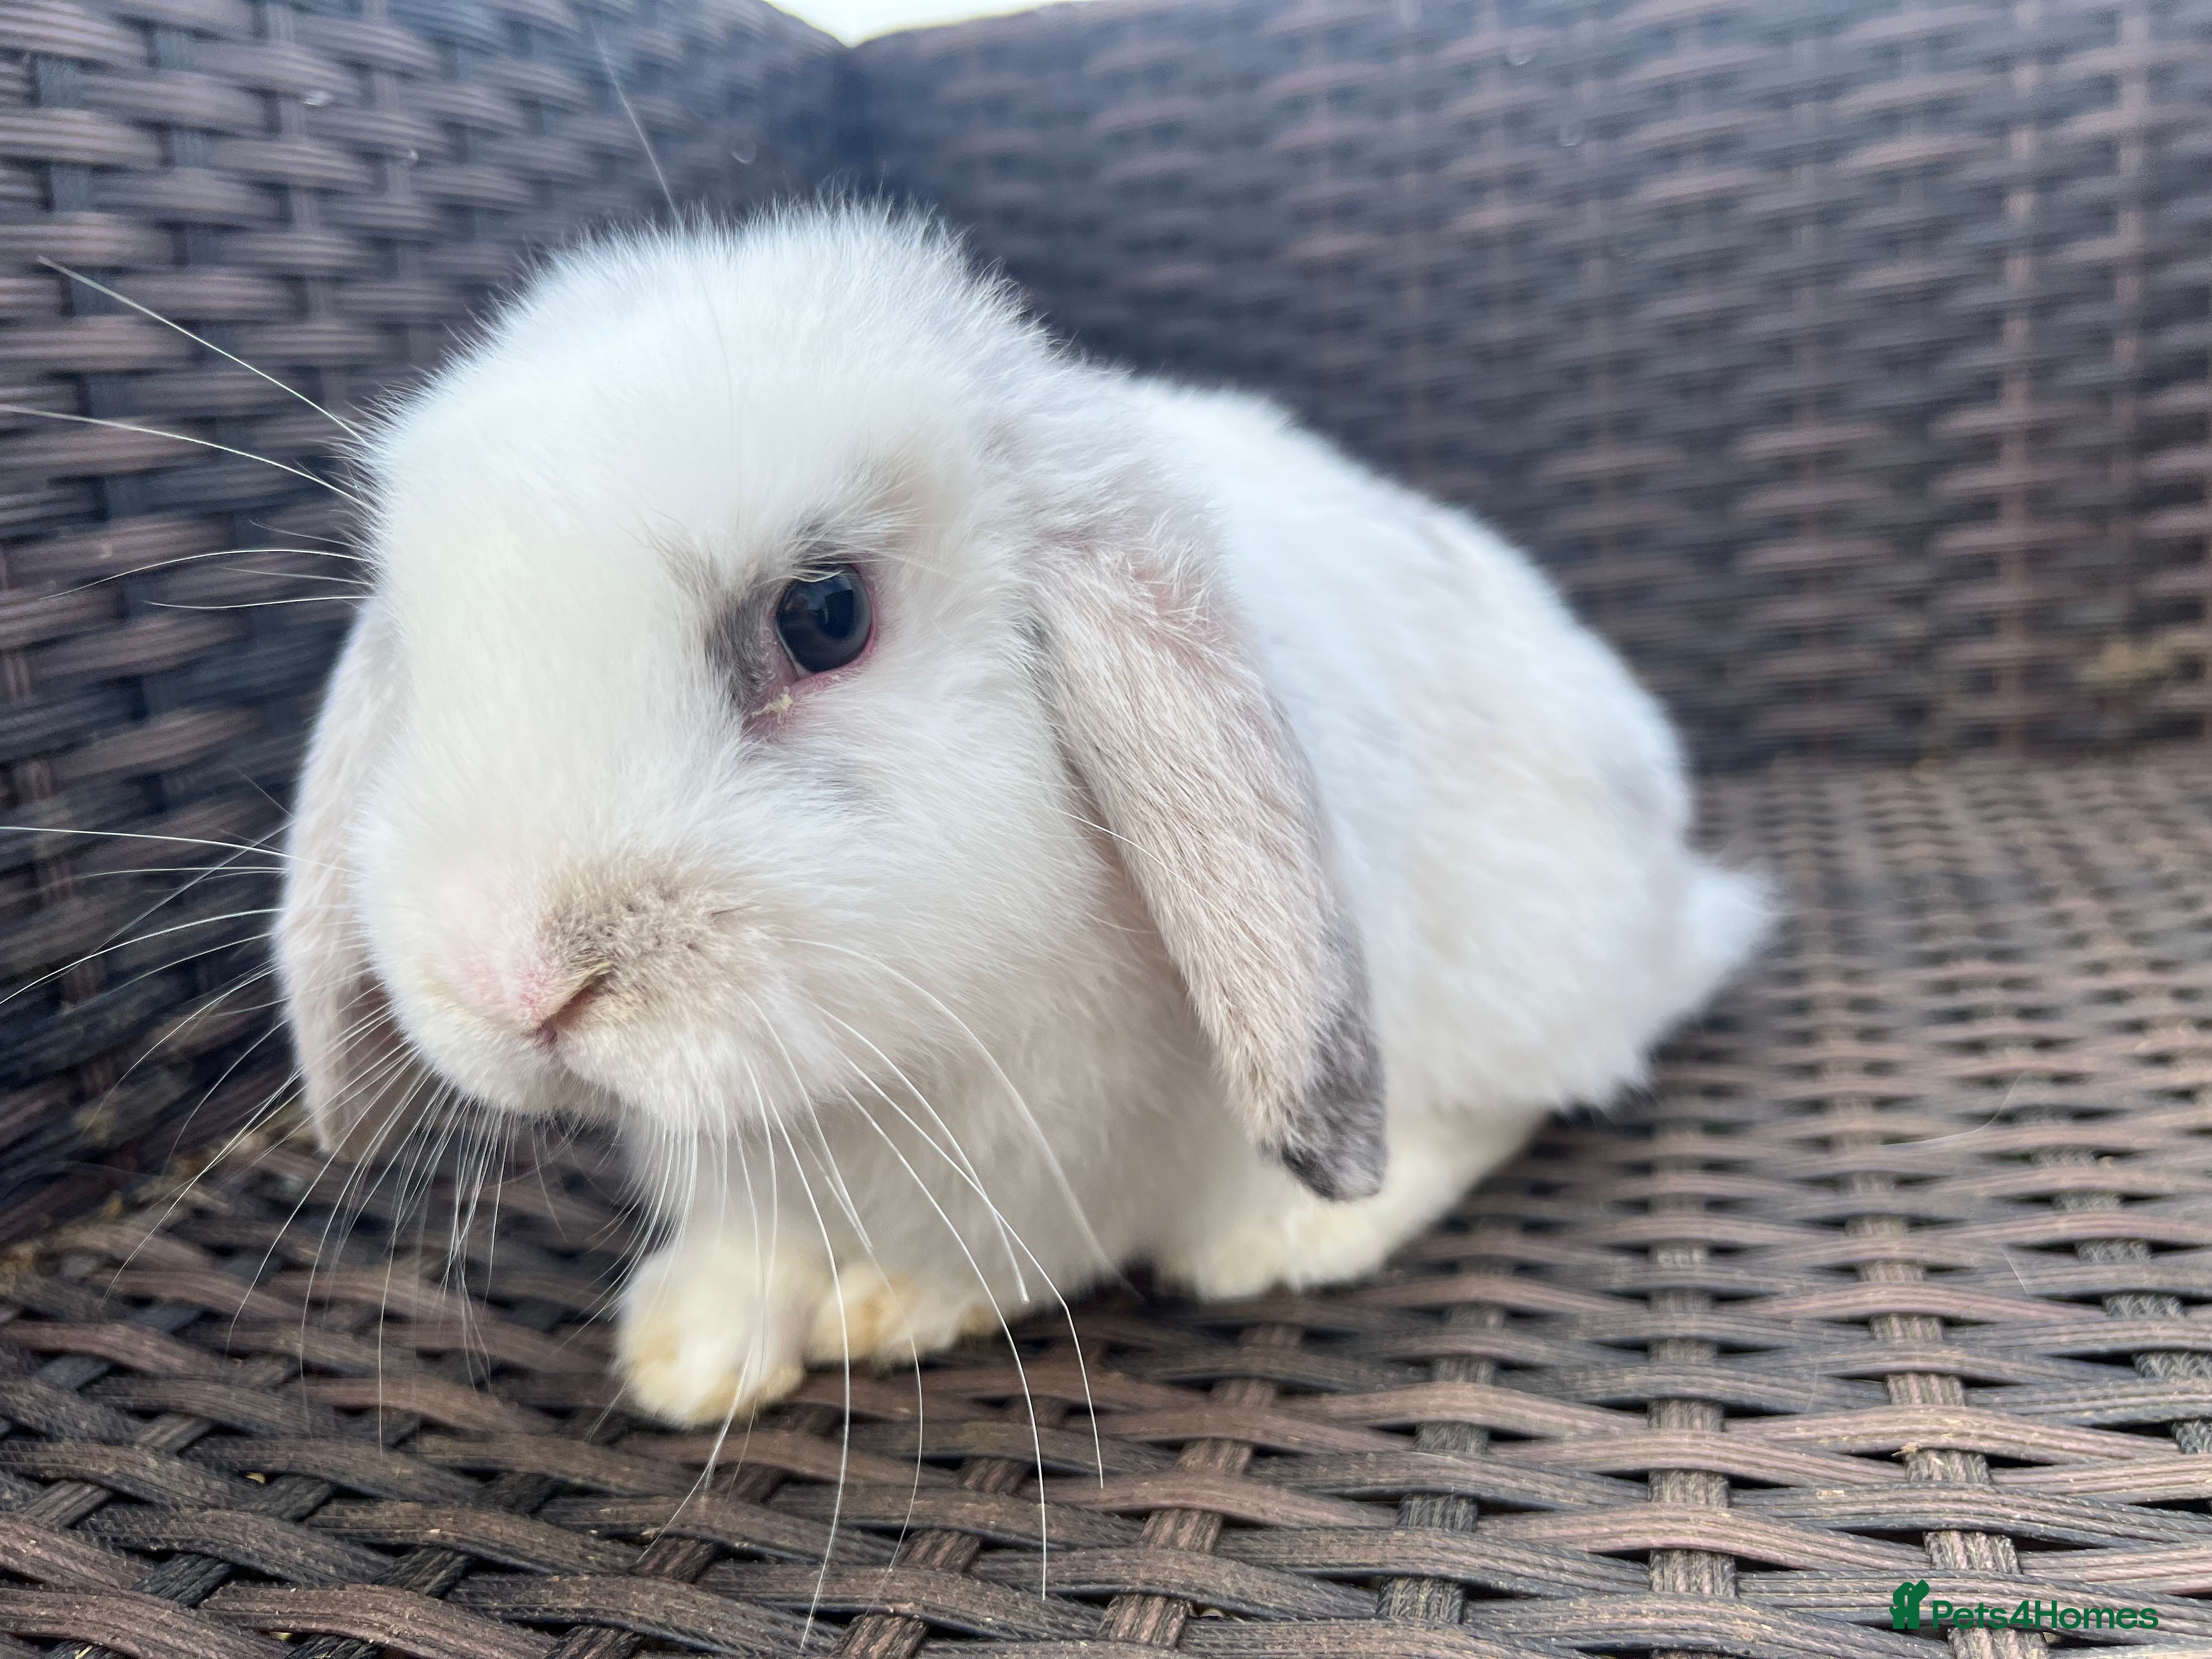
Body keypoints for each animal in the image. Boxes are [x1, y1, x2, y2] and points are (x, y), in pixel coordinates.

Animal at [276, 203, 1768, 1428]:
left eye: (826, 617)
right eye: (425, 642)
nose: (513, 983)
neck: (855, 1093)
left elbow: (1012, 1255)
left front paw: (884, 1311)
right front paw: (689, 1354)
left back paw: (1288, 1238)